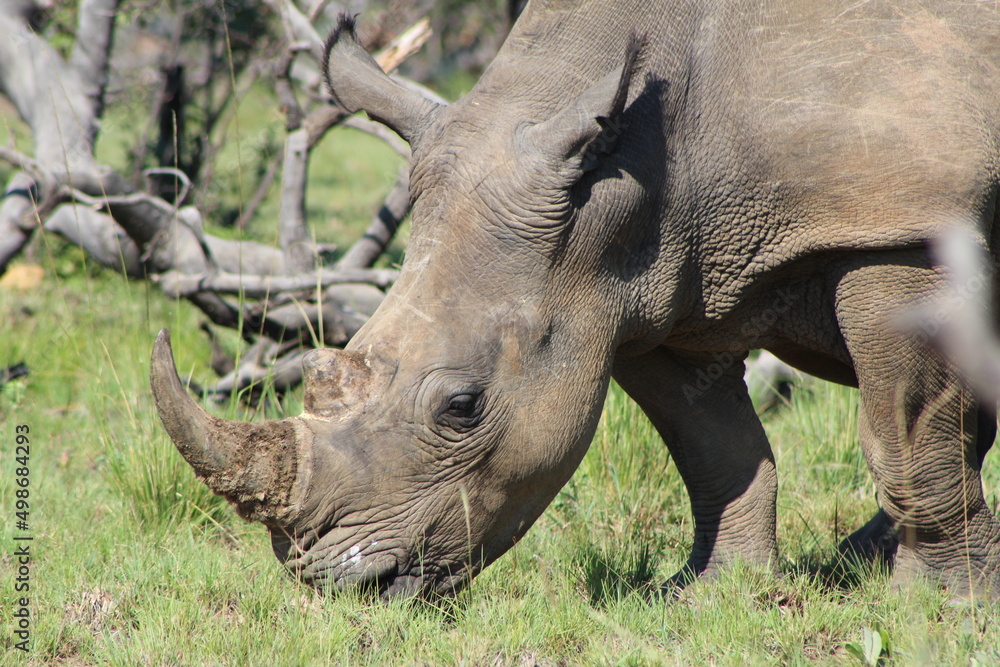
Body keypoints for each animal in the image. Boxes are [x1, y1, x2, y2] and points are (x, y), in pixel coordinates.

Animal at [151, 0, 1000, 600]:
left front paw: (938, 606)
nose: (336, 585)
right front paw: (713, 594)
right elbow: (714, 446)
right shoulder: (642, 285)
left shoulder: (899, 226)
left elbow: (909, 434)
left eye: (462, 407)